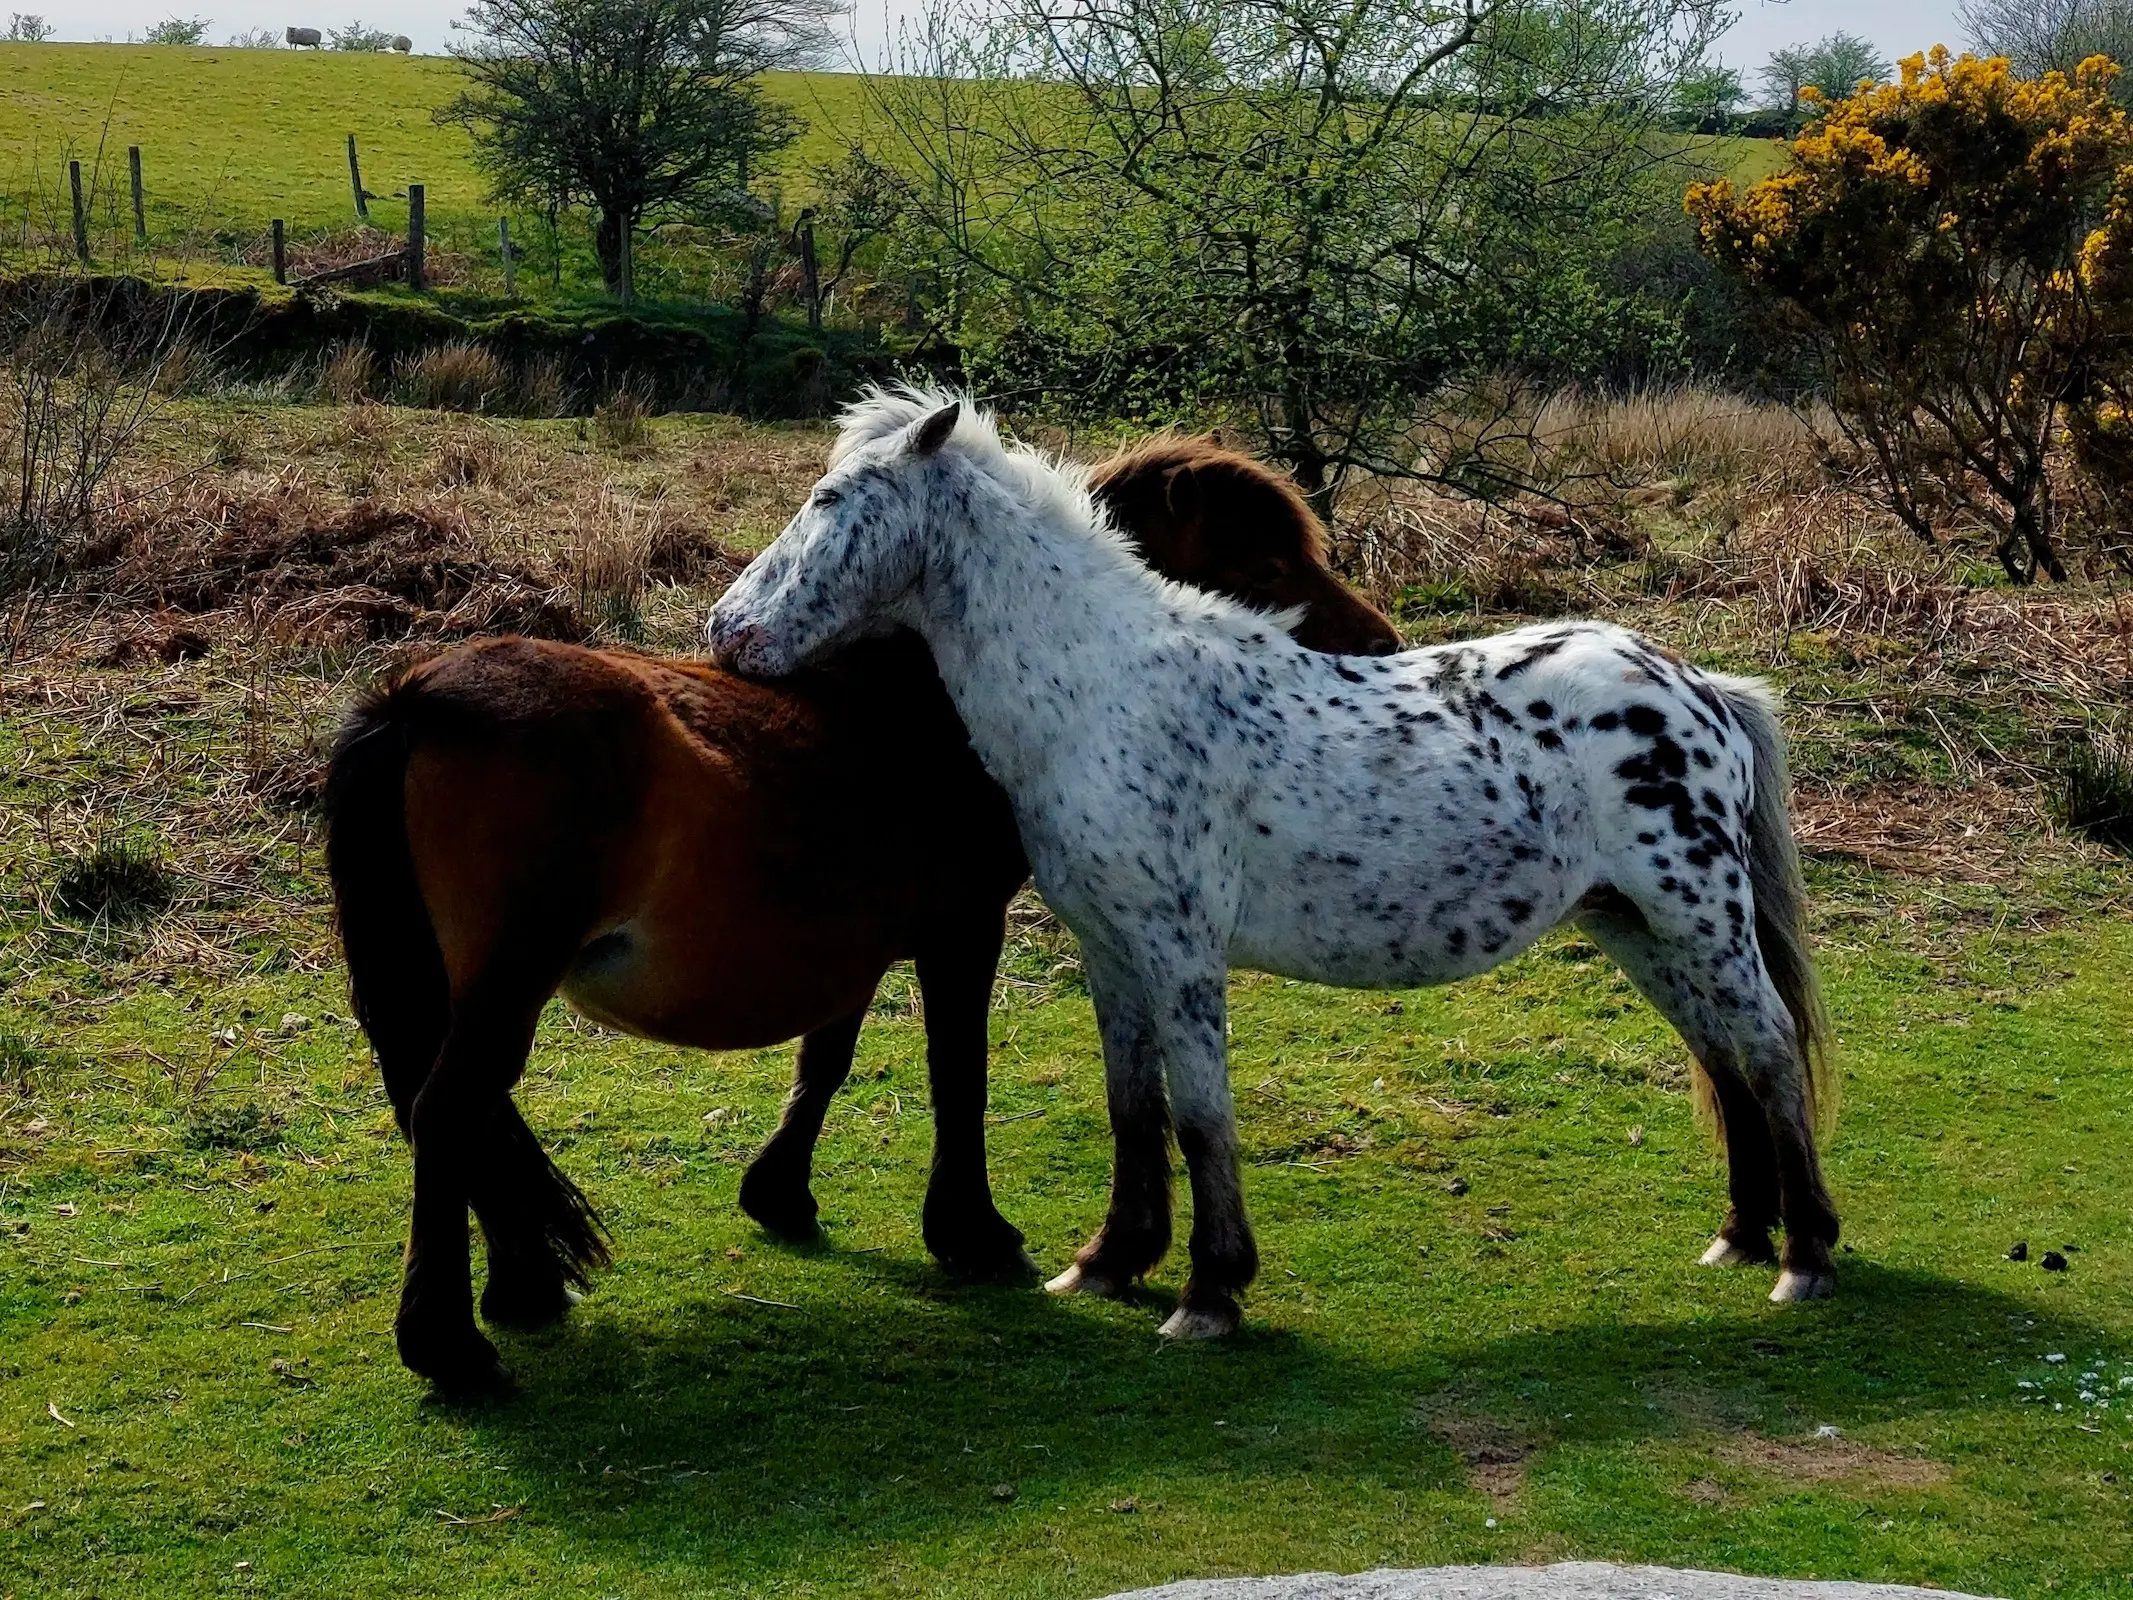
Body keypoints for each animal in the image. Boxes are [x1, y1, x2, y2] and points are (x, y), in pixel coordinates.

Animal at [324, 433, 1399, 1399]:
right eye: (1266, 562)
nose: (1382, 646)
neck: (931, 700)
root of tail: (416, 700)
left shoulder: (850, 942)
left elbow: (825, 1061)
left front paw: (781, 1195)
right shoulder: (962, 929)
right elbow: (956, 1076)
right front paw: (971, 1233)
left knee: (452, 1115)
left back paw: (520, 1290)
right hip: (508, 980)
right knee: (449, 1110)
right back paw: (451, 1348)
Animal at [708, 388, 1842, 1339]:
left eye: (829, 499)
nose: (726, 630)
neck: (1105, 693)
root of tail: (1697, 684)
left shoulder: (1179, 952)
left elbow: (1202, 1115)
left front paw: (1210, 1292)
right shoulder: (1110, 953)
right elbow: (1134, 1107)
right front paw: (1109, 1263)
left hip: (1699, 917)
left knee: (1768, 1049)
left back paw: (1805, 1258)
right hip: (1633, 925)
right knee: (1720, 1056)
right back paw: (1741, 1237)